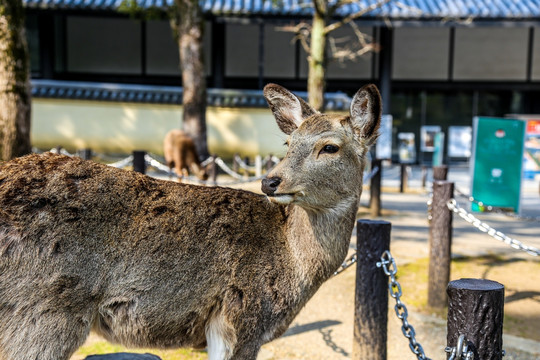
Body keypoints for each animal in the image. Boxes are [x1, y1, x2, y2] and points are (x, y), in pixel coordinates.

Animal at [0, 83, 382, 358]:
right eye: (289, 143)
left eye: (330, 147)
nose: (270, 181)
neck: (293, 266)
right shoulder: (241, 318)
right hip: (43, 311)